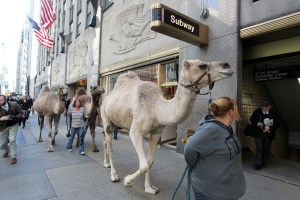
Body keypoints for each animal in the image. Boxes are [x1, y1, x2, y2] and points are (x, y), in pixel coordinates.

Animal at [101, 59, 234, 194]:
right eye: (202, 66)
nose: (227, 65)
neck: (157, 108)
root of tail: (106, 97)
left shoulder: (156, 133)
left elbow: (150, 162)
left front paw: (149, 188)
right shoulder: (136, 132)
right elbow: (144, 165)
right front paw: (127, 181)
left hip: (115, 122)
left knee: (105, 141)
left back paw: (106, 163)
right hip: (106, 118)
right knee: (110, 145)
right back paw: (114, 175)